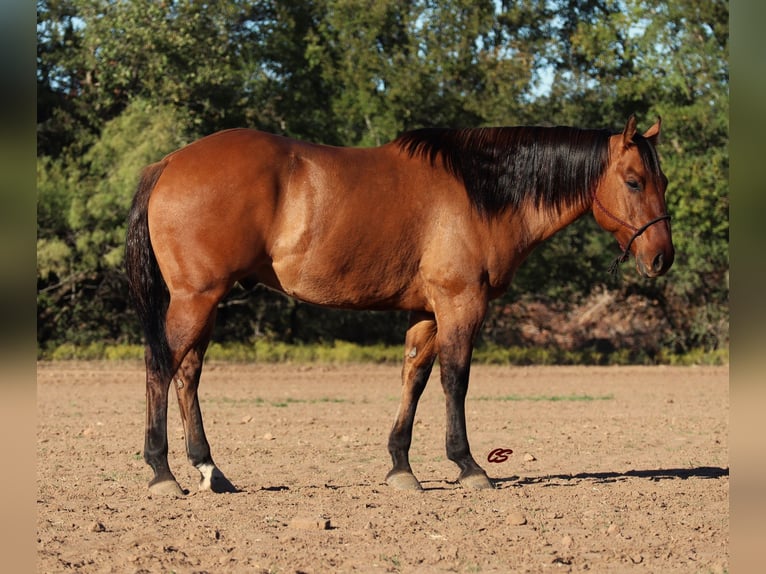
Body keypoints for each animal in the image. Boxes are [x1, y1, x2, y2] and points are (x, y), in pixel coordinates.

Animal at [124, 116, 672, 496]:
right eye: (633, 181)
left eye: (661, 181)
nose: (662, 257)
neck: (480, 193)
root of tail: (168, 163)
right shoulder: (460, 304)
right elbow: (455, 380)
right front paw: (467, 465)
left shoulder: (427, 312)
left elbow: (415, 378)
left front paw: (400, 467)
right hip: (196, 299)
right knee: (160, 367)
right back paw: (161, 472)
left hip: (205, 302)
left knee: (187, 372)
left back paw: (209, 469)